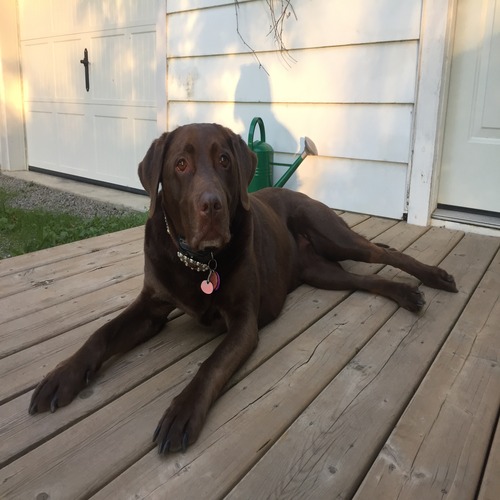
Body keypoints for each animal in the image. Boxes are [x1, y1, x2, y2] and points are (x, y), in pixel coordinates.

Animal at [29, 123, 458, 453]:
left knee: (383, 251)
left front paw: (181, 411)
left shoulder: (242, 322)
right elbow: (100, 334)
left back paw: (434, 277)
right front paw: (61, 377)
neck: (199, 262)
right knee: (365, 278)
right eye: (180, 164)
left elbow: (211, 364)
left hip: (332, 235)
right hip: (324, 273)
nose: (212, 205)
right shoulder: (151, 308)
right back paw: (406, 294)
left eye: (224, 160)